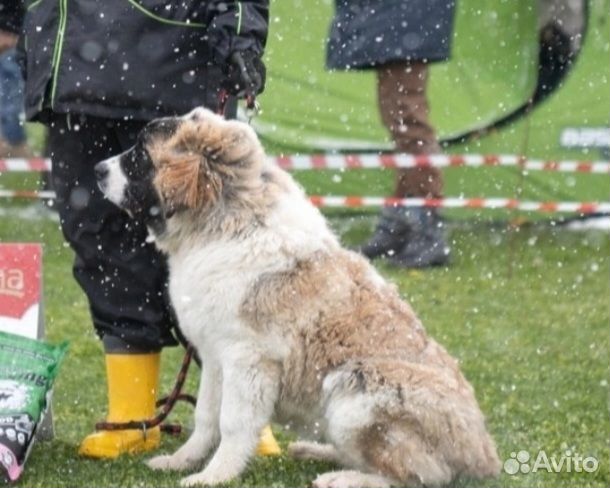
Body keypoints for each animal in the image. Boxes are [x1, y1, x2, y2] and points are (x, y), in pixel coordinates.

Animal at [95, 108, 498, 486]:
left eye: (139, 154)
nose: (97, 169)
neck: (228, 223)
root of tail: (483, 455)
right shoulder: (213, 355)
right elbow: (206, 416)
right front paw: (182, 461)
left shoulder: (247, 358)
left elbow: (232, 422)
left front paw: (215, 476)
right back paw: (316, 451)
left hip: (356, 389)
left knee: (419, 475)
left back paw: (343, 478)